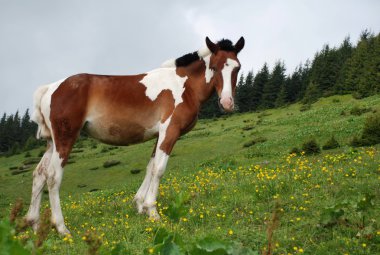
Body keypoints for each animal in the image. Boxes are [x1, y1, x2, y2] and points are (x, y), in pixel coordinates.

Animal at [25, 36, 245, 235]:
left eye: (237, 68)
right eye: (214, 67)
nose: (227, 103)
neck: (185, 86)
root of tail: (50, 88)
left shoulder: (160, 135)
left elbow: (150, 167)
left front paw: (140, 205)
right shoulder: (170, 131)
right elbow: (159, 169)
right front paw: (153, 212)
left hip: (52, 143)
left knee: (39, 175)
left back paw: (34, 224)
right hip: (65, 138)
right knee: (53, 177)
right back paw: (62, 228)